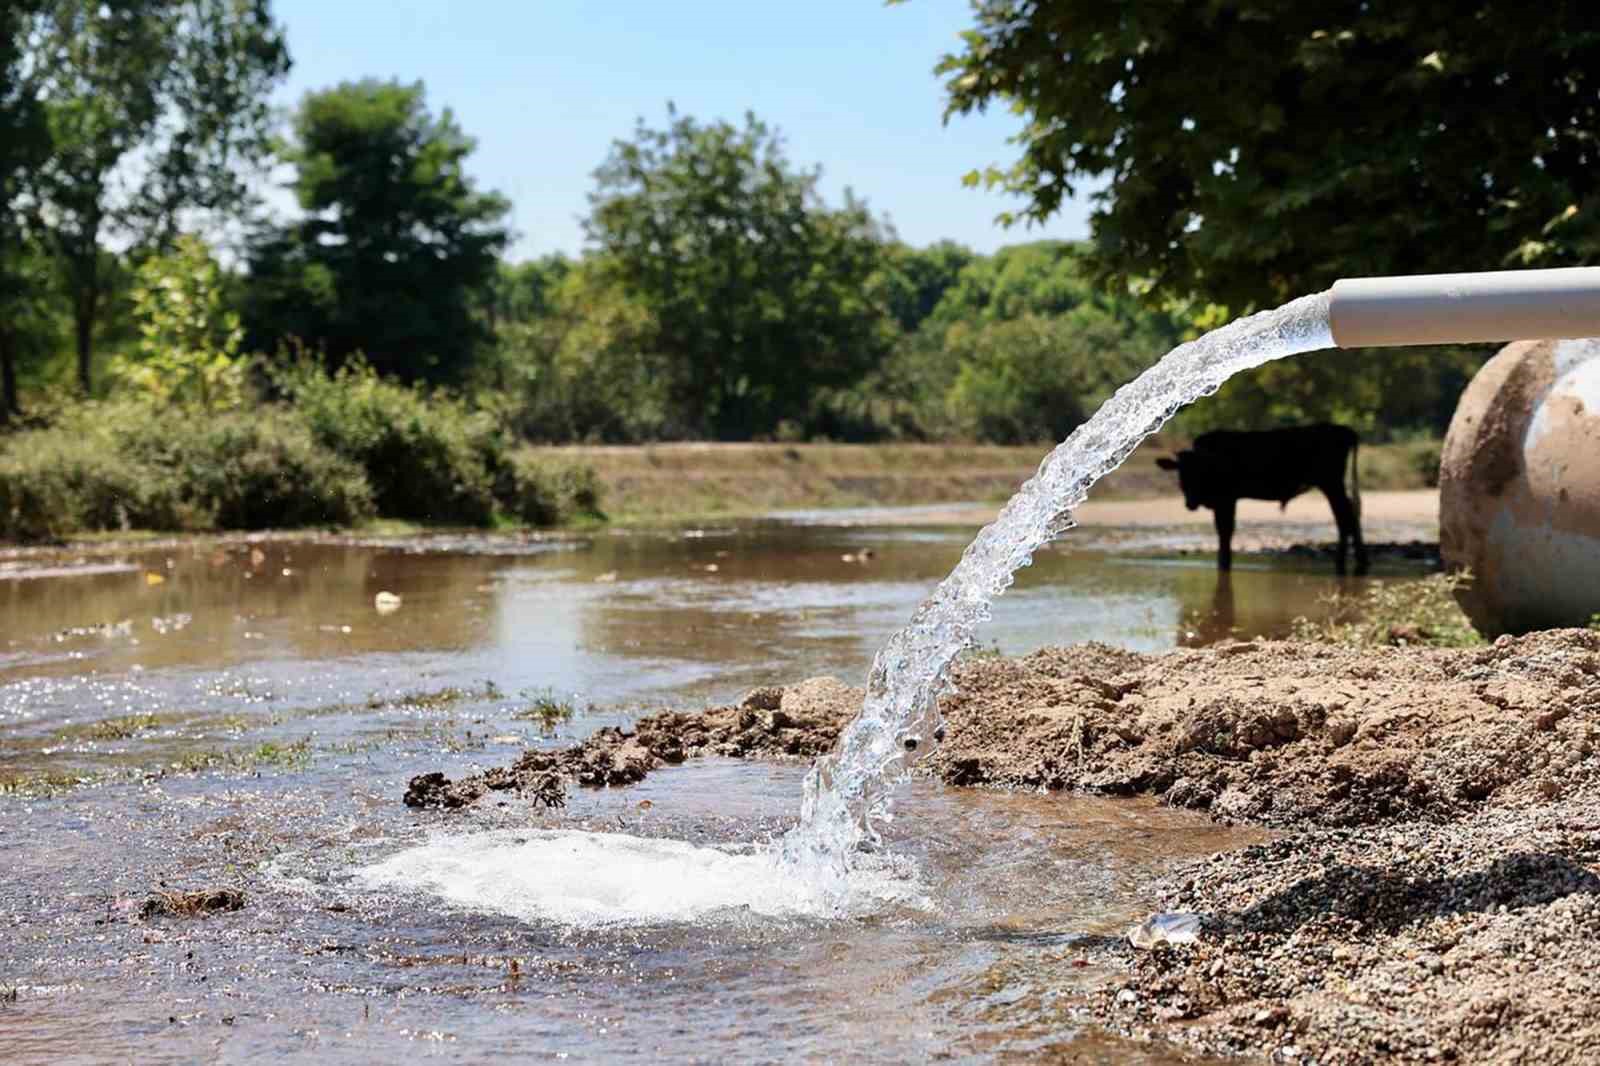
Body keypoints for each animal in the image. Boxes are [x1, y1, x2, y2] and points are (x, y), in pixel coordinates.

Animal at [1158, 422, 1369, 573]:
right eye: (1181, 473)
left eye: (1200, 472)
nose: (1190, 502)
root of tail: (1343, 430)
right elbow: (1223, 532)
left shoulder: (1227, 499)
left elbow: (1225, 531)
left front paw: (1224, 565)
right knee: (1351, 515)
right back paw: (1358, 562)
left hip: (1331, 483)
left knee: (1345, 517)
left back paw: (1344, 564)